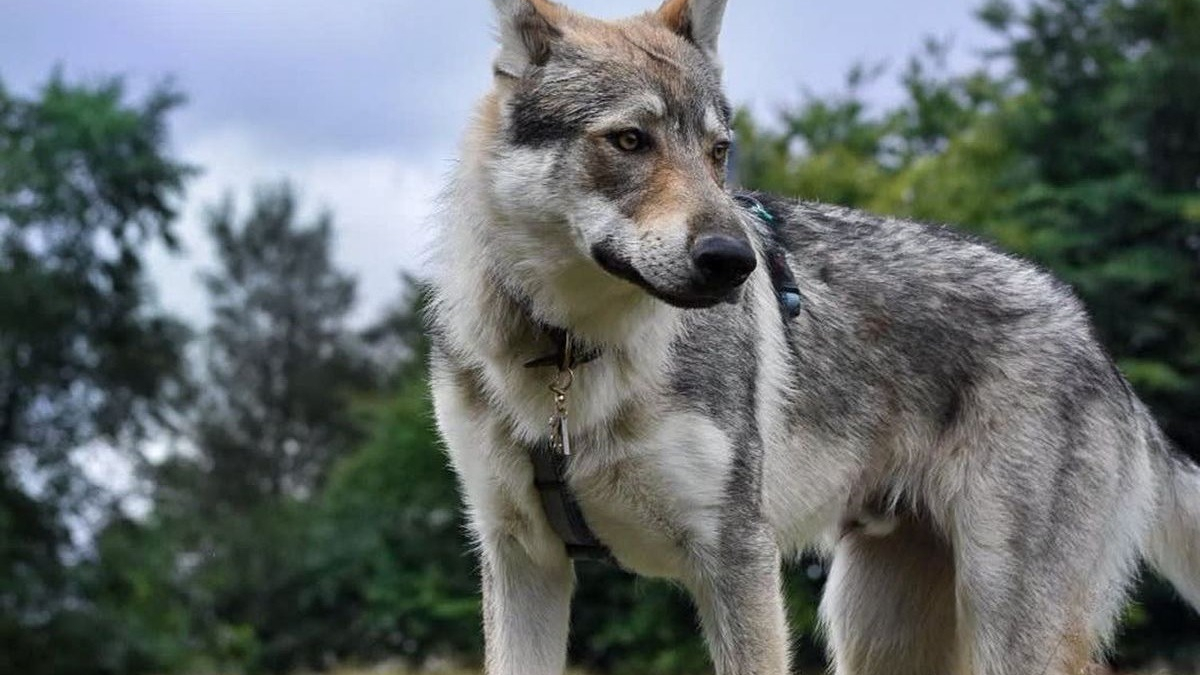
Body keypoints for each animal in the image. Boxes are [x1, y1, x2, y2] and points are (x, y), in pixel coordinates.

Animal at [424, 2, 1200, 667]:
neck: (568, 356)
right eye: (629, 140)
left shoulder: (736, 557)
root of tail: (1093, 337)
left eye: (718, 151)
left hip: (1007, 628)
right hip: (874, 631)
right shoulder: (523, 559)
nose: (734, 261)